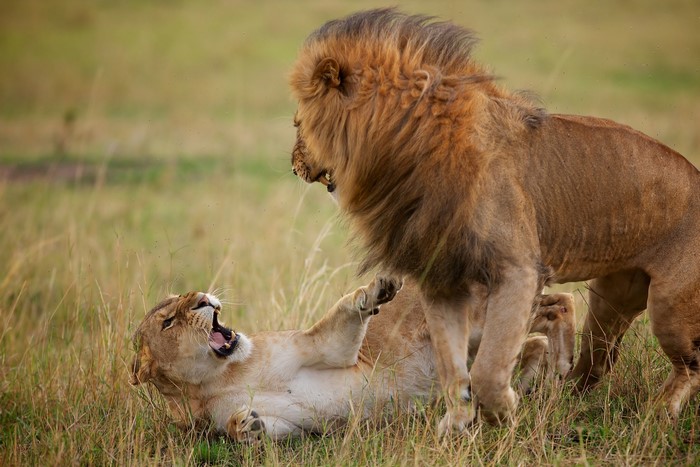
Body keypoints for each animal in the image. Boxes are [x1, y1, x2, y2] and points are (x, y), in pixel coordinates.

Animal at [130, 278, 575, 441]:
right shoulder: (292, 426)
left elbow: (347, 311)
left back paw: (565, 366)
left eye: (184, 297)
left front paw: (376, 291)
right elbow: (254, 429)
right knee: (538, 332)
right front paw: (248, 424)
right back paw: (547, 378)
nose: (204, 299)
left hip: (477, 320)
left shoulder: (322, 347)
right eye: (169, 321)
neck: (219, 378)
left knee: (559, 303)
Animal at [289, 8, 700, 435]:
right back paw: (563, 388)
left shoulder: (518, 269)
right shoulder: (441, 276)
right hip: (611, 302)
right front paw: (454, 425)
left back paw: (659, 412)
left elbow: (488, 367)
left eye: (297, 123)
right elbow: (452, 366)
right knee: (597, 361)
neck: (405, 148)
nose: (293, 164)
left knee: (690, 365)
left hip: (669, 308)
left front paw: (502, 414)